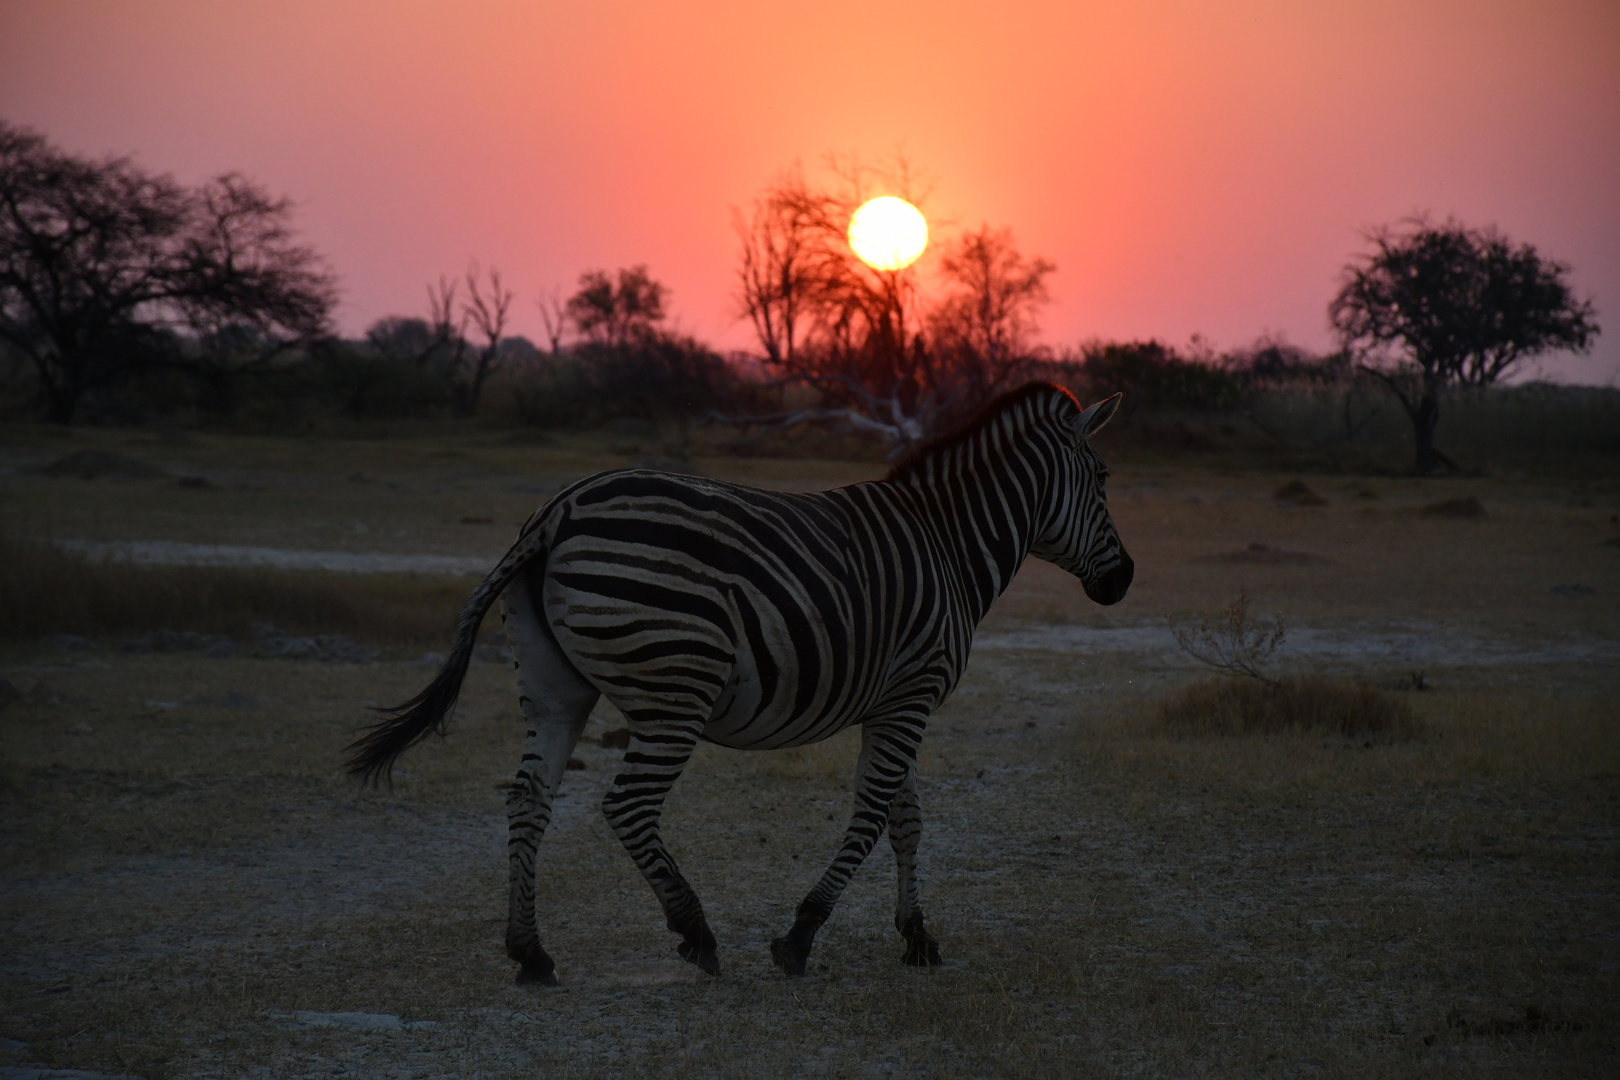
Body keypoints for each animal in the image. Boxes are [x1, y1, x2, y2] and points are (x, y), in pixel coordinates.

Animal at [345, 383, 1127, 984]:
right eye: (1103, 479)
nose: (1124, 581)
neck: (949, 545)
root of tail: (558, 512)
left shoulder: (897, 699)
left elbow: (906, 817)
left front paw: (917, 936)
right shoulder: (913, 695)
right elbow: (873, 815)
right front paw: (803, 935)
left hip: (553, 683)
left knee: (529, 797)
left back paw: (530, 952)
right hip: (675, 687)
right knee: (627, 805)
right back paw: (695, 932)